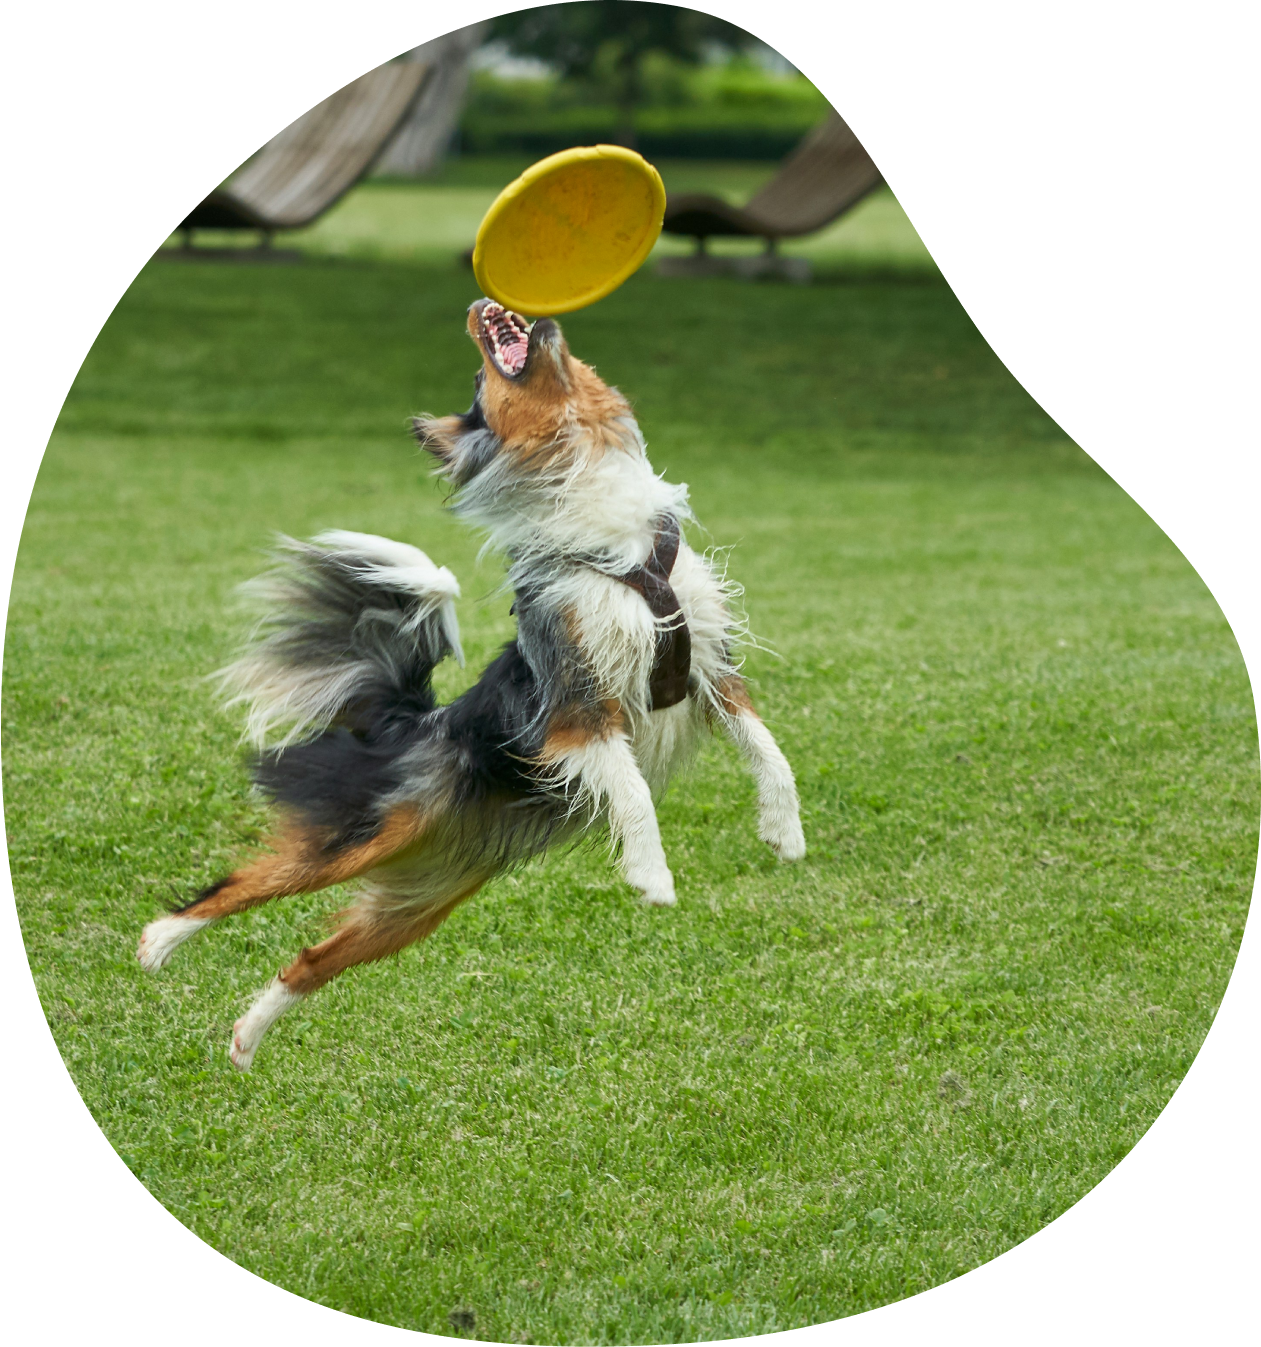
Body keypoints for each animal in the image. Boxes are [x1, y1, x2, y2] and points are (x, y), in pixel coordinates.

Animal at [138, 300, 808, 1066]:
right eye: (479, 383)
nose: (501, 308)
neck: (619, 540)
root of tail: (412, 722)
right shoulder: (577, 708)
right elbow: (634, 792)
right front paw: (651, 876)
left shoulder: (711, 671)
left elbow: (770, 751)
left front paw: (784, 832)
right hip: (364, 831)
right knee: (245, 882)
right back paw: (160, 942)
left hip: (418, 901)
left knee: (310, 957)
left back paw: (246, 1038)